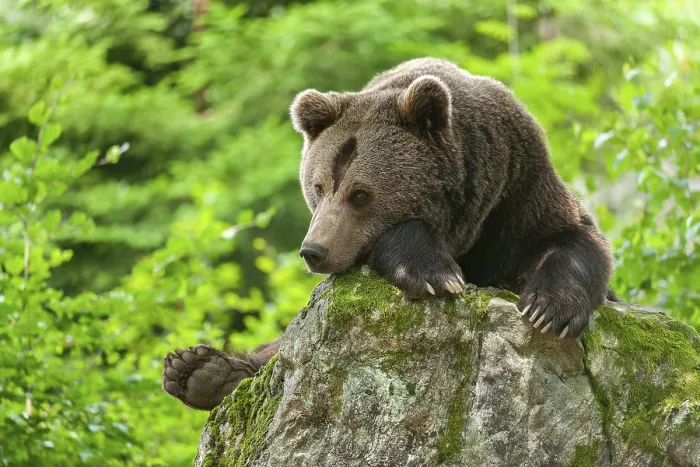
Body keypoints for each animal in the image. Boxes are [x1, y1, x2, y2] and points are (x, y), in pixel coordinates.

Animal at [162, 57, 615, 411]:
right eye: (318, 186)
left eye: (360, 193)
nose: (314, 250)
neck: (466, 224)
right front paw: (434, 274)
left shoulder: (516, 189)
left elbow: (573, 239)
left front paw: (549, 309)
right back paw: (199, 370)